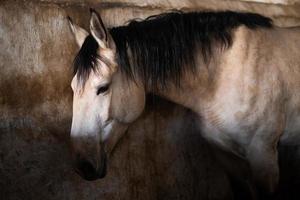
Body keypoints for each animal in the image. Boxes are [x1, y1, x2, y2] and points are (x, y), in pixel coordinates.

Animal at [67, 8, 300, 195]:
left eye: (103, 88)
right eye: (73, 88)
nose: (82, 165)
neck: (224, 77)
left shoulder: (263, 155)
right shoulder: (226, 157)